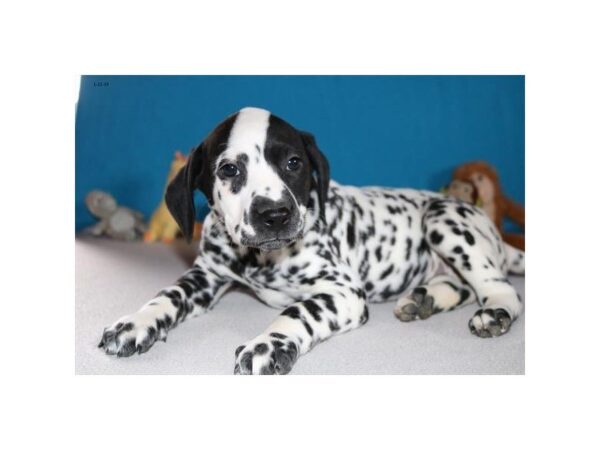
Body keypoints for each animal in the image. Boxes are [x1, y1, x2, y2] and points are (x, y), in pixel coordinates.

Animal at [98, 107, 524, 374]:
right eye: (229, 169)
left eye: (293, 163)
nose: (274, 214)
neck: (260, 261)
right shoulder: (206, 276)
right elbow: (168, 295)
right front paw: (134, 323)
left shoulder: (342, 291)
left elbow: (297, 311)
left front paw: (268, 344)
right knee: (466, 286)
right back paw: (425, 299)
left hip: (445, 222)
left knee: (501, 289)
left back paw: (492, 313)